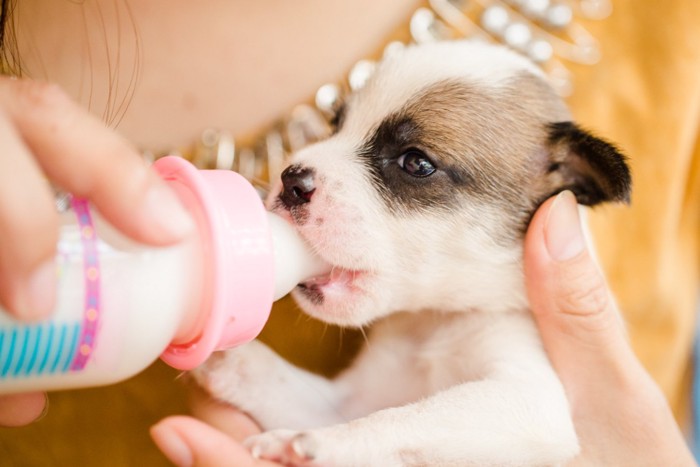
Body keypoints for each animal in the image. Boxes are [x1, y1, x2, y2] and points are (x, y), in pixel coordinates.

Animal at [190, 41, 628, 467]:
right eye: (335, 125)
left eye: (416, 163)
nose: (291, 179)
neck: (434, 322)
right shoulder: (345, 401)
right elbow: (285, 386)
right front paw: (225, 354)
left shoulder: (529, 402)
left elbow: (401, 419)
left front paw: (318, 444)